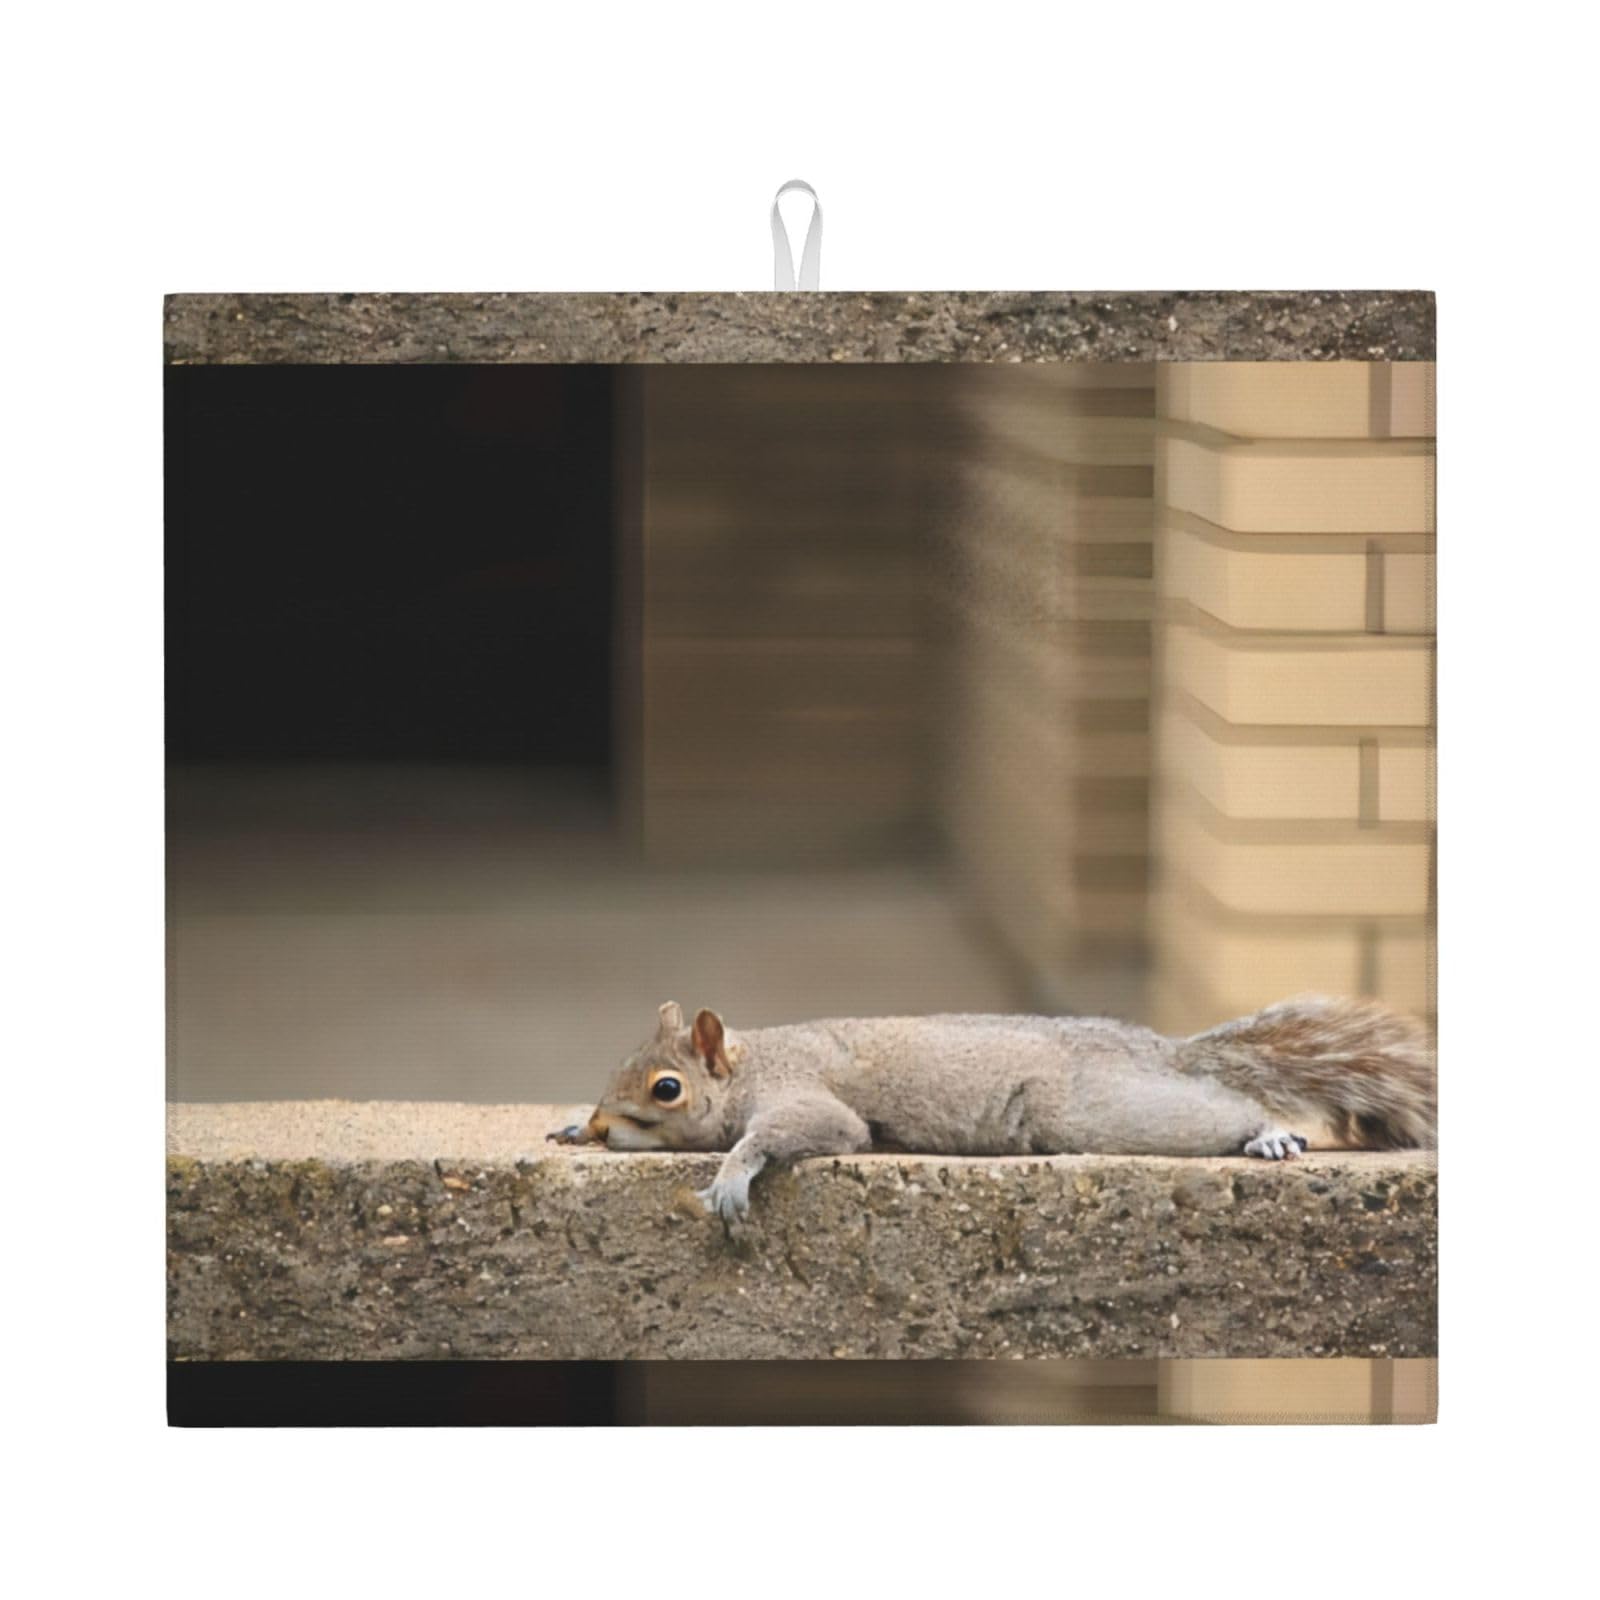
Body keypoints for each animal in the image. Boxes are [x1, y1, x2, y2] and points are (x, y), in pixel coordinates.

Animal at [547, 995, 1436, 1225]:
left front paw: (733, 1175)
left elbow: (811, 1132)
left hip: (1099, 1110)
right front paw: (569, 1126)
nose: (603, 1123)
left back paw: (1268, 1133)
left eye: (666, 1088)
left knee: (1213, 1107)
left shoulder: (808, 1098)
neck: (751, 1063)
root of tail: (1161, 1052)